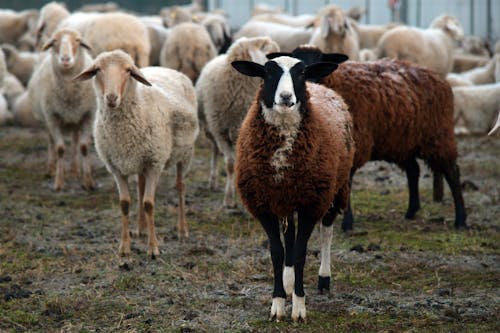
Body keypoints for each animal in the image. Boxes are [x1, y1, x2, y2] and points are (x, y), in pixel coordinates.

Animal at [28, 29, 95, 189]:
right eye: (54, 41)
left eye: (77, 40)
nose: (65, 59)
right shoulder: (52, 117)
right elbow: (60, 148)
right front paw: (59, 182)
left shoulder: (88, 116)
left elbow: (84, 147)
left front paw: (88, 182)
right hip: (47, 121)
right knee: (51, 141)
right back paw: (51, 169)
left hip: (75, 120)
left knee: (75, 141)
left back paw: (75, 170)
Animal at [74, 49, 199, 256]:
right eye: (98, 70)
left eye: (128, 70)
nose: (111, 98)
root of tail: (165, 67)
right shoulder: (116, 167)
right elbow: (124, 203)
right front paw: (124, 248)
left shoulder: (155, 163)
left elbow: (149, 204)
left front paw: (153, 248)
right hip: (141, 160)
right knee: (140, 185)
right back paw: (141, 228)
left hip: (185, 153)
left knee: (180, 186)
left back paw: (182, 230)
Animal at [196, 37, 282, 206]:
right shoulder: (221, 131)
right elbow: (230, 164)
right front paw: (229, 199)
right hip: (210, 128)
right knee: (215, 149)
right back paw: (212, 182)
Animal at [231, 55, 354, 320]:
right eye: (267, 73)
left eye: (301, 73)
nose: (286, 97)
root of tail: (320, 87)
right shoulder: (263, 203)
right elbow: (278, 252)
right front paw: (278, 303)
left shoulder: (311, 203)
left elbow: (300, 252)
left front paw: (298, 307)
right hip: (287, 198)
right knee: (289, 236)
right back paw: (287, 282)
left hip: (335, 188)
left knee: (326, 232)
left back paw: (324, 278)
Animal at [286, 45, 468, 230]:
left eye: (320, 59)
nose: (310, 82)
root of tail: (437, 76)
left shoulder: (354, 147)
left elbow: (347, 184)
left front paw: (347, 223)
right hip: (402, 142)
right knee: (413, 170)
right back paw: (411, 211)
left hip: (439, 136)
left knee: (453, 173)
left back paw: (461, 219)